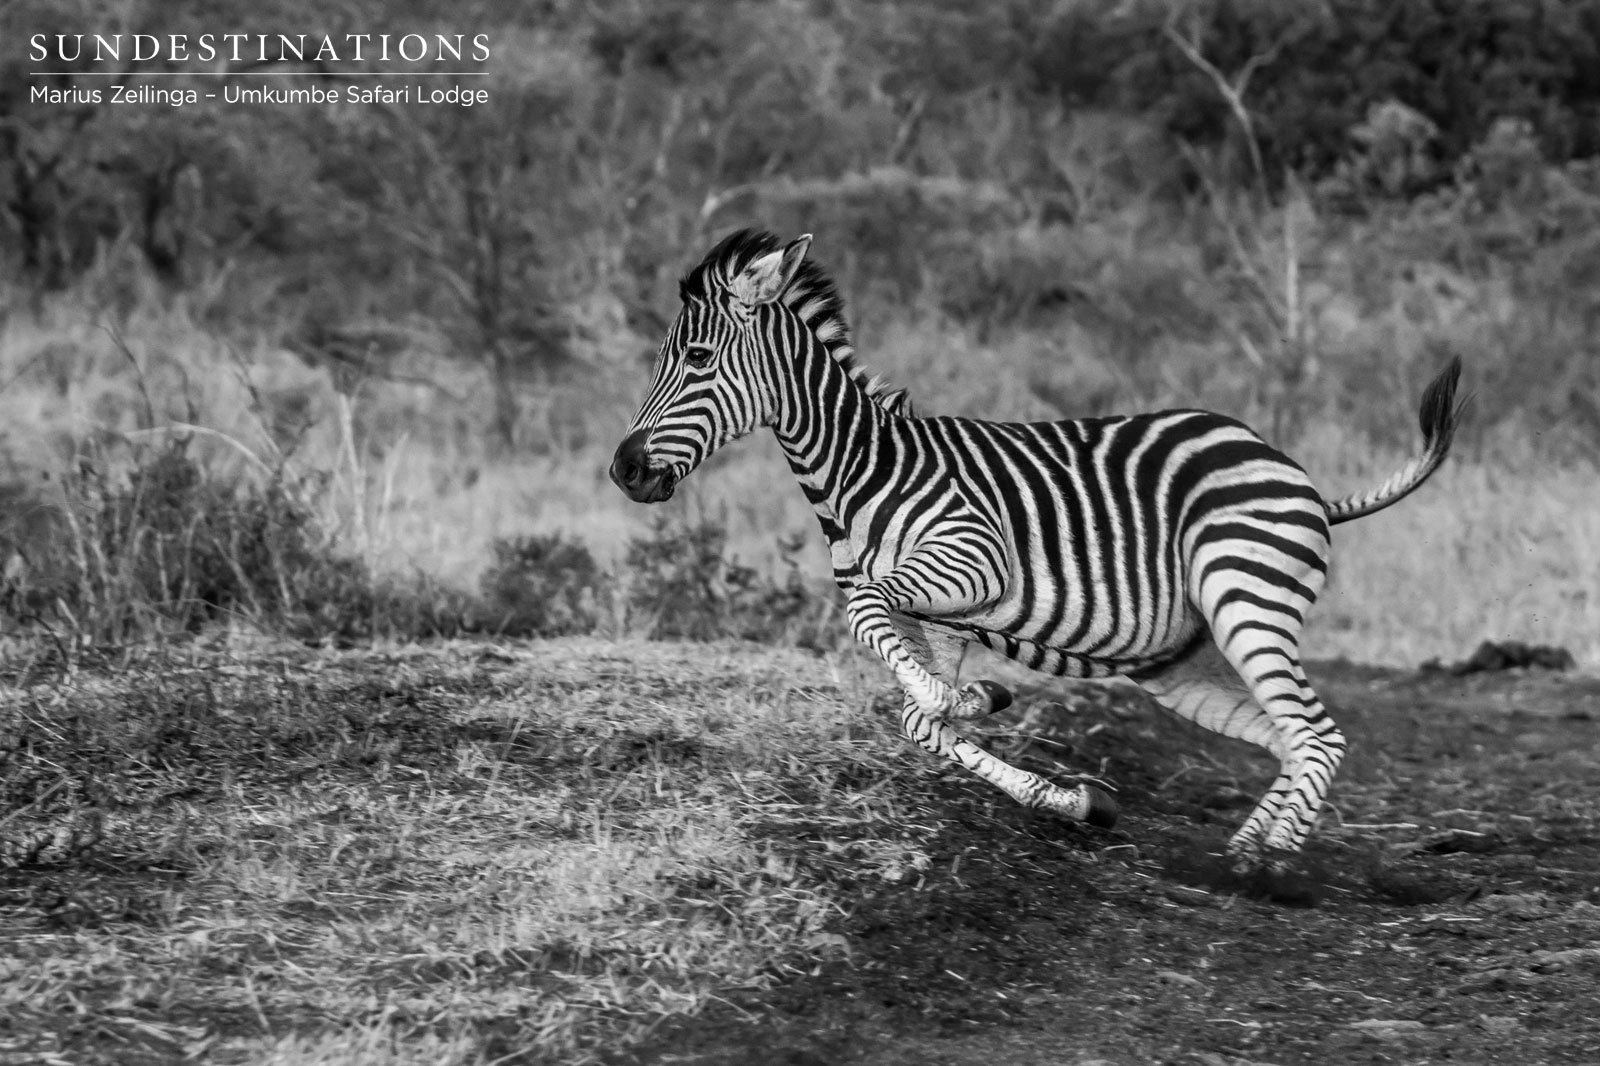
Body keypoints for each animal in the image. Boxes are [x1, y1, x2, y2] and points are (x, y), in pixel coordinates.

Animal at [610, 229, 1465, 870]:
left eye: (695, 360)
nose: (624, 469)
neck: (857, 470)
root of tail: (1300, 477)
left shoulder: (971, 561)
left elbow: (878, 626)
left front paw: (977, 703)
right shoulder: (936, 625)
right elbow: (921, 715)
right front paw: (1065, 790)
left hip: (1245, 598)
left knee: (1319, 735)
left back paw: (1272, 871)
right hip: (1185, 663)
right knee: (1289, 736)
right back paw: (1242, 852)